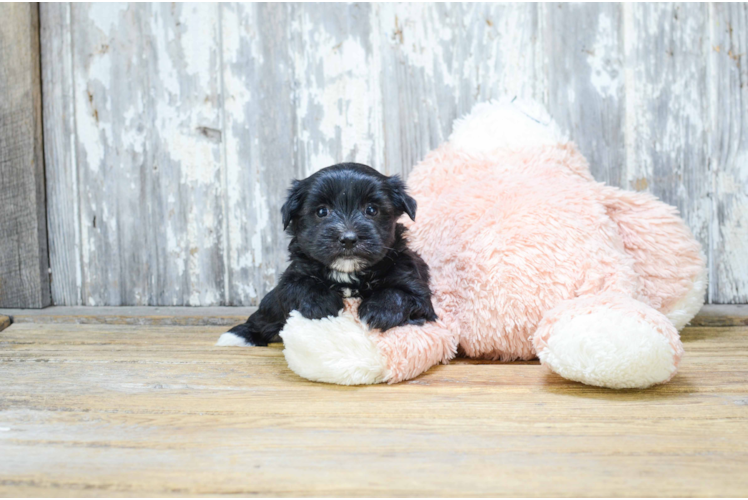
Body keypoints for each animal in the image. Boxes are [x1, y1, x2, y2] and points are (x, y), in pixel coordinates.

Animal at [219, 162, 436, 346]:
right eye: (322, 211)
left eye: (371, 210)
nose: (348, 239)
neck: (348, 274)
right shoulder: (292, 276)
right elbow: (299, 285)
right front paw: (322, 303)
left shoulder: (414, 285)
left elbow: (401, 293)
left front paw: (379, 310)